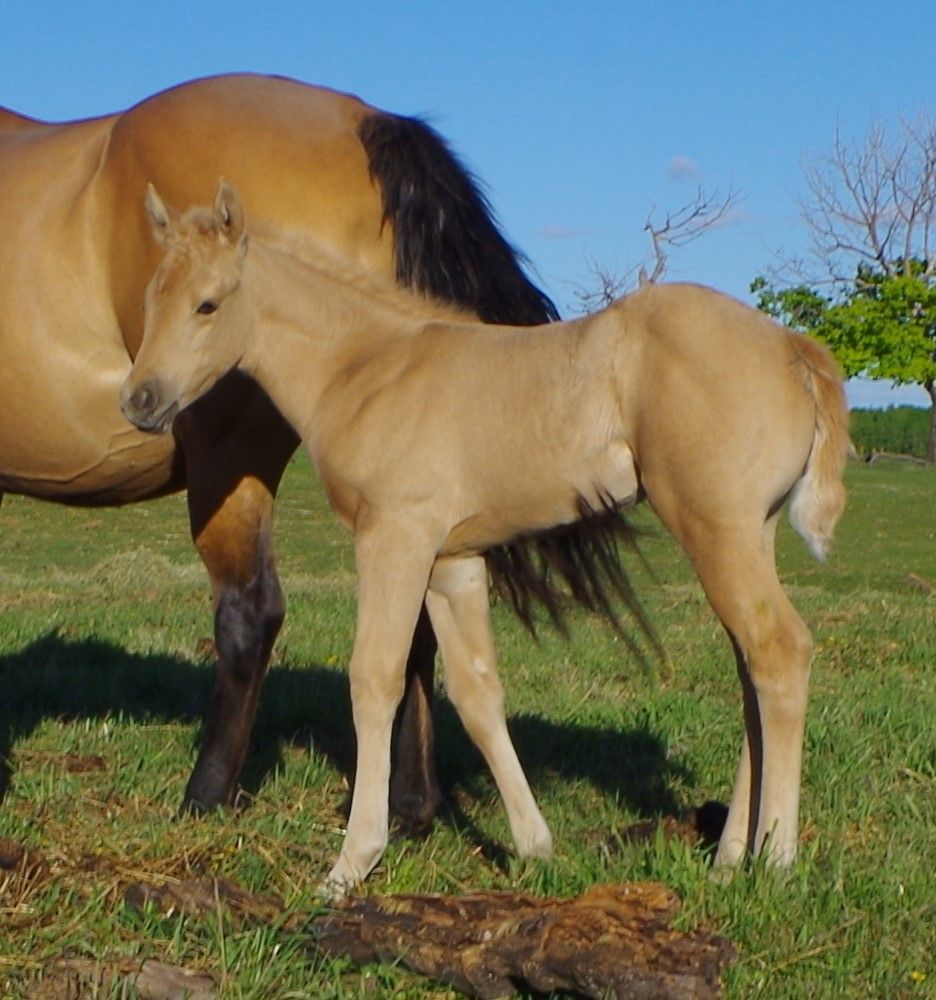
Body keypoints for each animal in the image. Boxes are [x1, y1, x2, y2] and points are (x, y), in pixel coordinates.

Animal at [121, 182, 851, 894]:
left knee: (780, 653)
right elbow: (477, 695)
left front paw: (351, 863)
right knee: (752, 669)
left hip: (716, 529)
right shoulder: (453, 559)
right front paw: (535, 846)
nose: (139, 401)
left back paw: (777, 861)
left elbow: (375, 679)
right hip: (745, 533)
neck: (368, 368)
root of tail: (792, 346)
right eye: (152, 298)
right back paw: (730, 857)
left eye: (208, 304)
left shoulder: (395, 537)